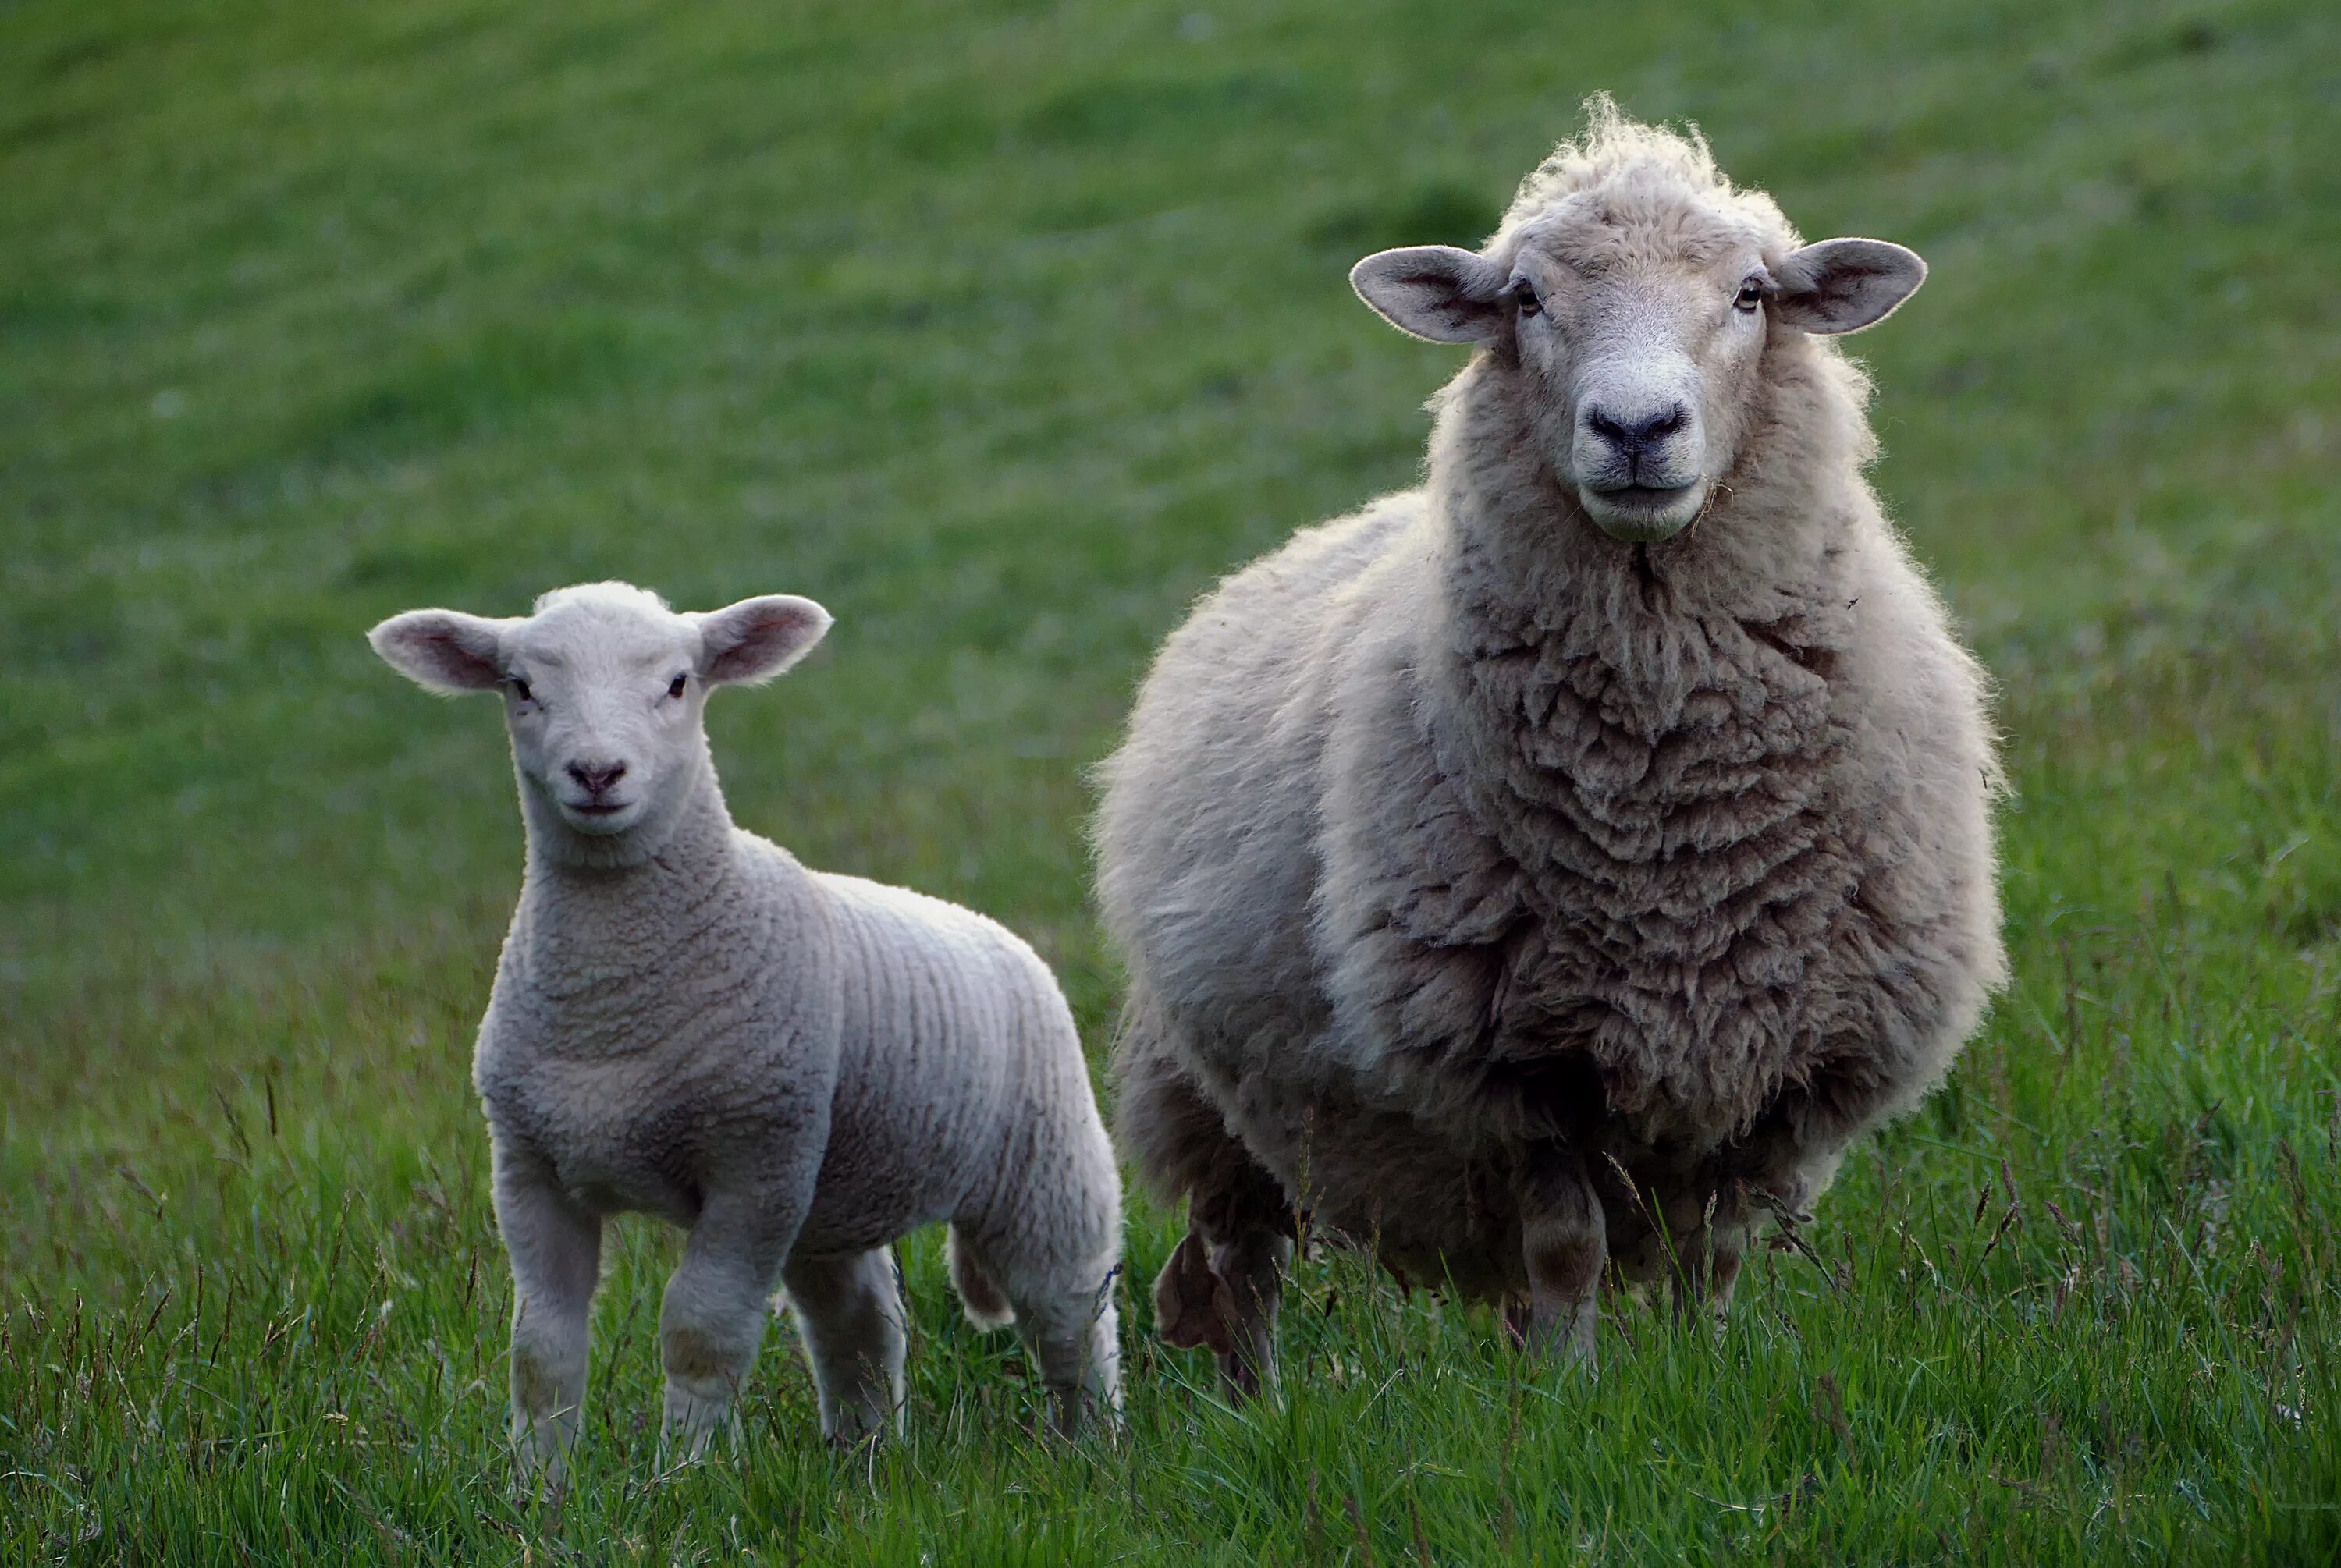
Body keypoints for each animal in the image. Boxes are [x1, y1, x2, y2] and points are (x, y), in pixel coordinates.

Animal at [365, 583, 1124, 1488]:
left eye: (678, 683)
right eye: (520, 687)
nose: (597, 774)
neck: (611, 1009)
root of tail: (998, 935)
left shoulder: (752, 1164)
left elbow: (702, 1331)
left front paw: (680, 1480)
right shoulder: (530, 1170)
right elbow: (540, 1352)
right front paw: (535, 1491)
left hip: (1042, 1165)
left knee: (1071, 1312)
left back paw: (1091, 1451)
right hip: (829, 1197)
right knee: (859, 1327)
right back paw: (863, 1461)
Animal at [1086, 101, 2004, 1404]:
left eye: (1752, 295)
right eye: (1524, 298)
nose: (1635, 429)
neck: (1673, 820)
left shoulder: (1781, 1059)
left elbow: (1715, 1253)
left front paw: (1704, 1374)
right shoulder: (1520, 1066)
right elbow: (1567, 1247)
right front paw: (1574, 1405)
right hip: (1204, 1090)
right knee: (1240, 1259)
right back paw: (1261, 1408)